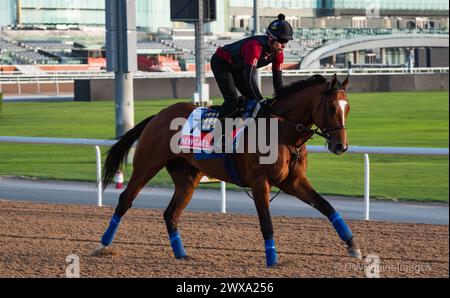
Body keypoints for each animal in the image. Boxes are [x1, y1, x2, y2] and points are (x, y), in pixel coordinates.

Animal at [94, 74, 362, 266]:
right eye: (331, 107)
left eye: (347, 108)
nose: (341, 146)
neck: (282, 131)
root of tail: (157, 115)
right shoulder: (259, 182)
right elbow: (266, 222)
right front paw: (272, 259)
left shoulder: (293, 181)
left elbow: (327, 206)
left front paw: (352, 245)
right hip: (147, 165)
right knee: (125, 200)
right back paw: (103, 245)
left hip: (187, 179)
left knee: (170, 213)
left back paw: (181, 254)